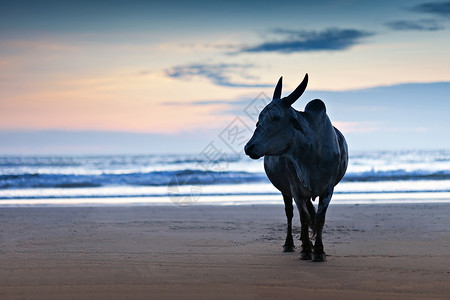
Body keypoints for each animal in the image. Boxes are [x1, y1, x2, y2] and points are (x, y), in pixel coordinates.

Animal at [244, 74, 346, 262]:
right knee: (290, 213)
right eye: (259, 118)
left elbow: (319, 218)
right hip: (286, 190)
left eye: (276, 117)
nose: (249, 147)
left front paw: (318, 250)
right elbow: (304, 217)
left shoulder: (328, 189)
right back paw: (290, 243)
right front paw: (306, 249)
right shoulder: (295, 188)